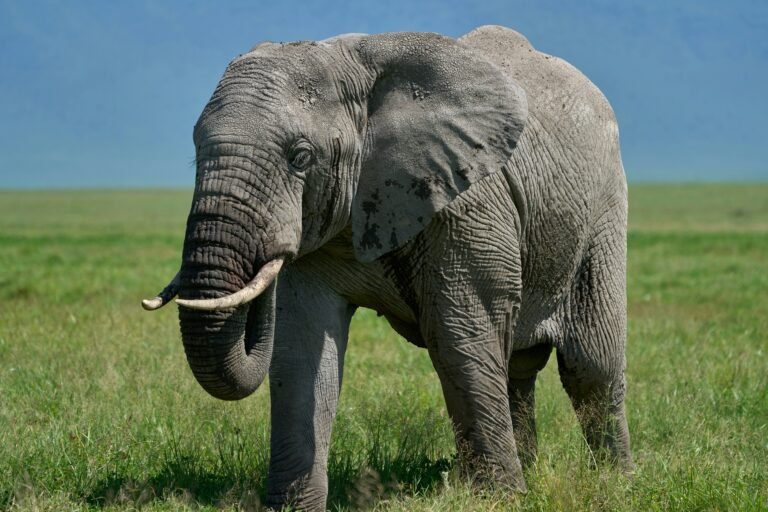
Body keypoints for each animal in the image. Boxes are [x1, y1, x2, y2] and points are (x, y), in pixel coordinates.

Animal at [142, 25, 632, 512]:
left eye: (300, 157)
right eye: (195, 153)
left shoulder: (466, 205)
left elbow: (460, 337)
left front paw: (499, 501)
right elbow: (301, 349)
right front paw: (293, 508)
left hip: (603, 209)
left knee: (591, 365)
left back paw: (614, 481)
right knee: (517, 365)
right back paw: (532, 470)